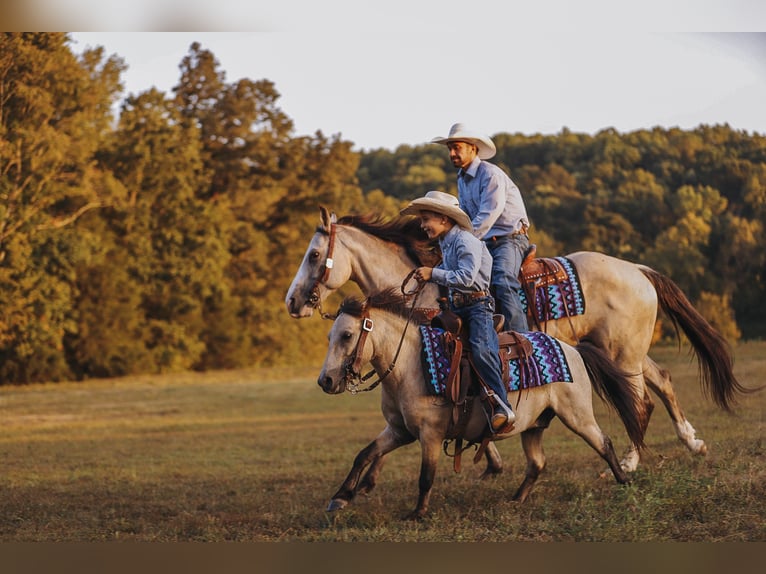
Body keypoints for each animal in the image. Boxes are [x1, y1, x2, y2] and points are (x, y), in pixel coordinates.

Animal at [284, 206, 752, 472]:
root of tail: (637, 269)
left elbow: (477, 388)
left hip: (623, 353)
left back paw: (631, 461)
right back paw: (692, 443)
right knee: (663, 381)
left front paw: (489, 454)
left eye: (313, 254)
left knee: (641, 399)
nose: (292, 301)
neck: (427, 288)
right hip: (626, 351)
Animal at [318, 290, 648, 520]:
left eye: (347, 335)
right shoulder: (400, 431)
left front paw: (417, 513)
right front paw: (340, 497)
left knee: (603, 443)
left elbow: (426, 476)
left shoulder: (430, 434)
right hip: (534, 425)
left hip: (577, 416)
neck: (411, 363)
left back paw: (624, 483)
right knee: (537, 463)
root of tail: (573, 349)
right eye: (330, 335)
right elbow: (364, 455)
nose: (326, 381)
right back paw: (516, 499)